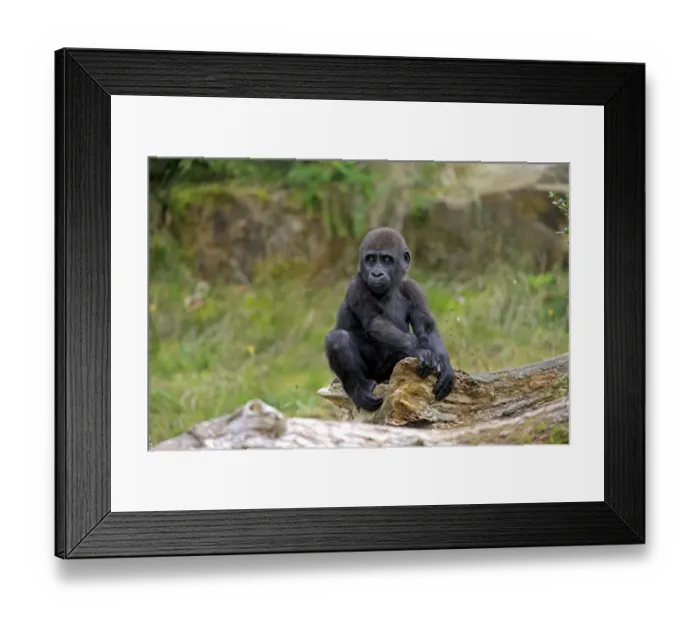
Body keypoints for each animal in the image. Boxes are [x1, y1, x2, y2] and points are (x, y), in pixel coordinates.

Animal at [324, 227, 455, 411]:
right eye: (371, 259)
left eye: (387, 260)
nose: (376, 273)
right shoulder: (357, 285)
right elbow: (375, 322)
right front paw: (419, 350)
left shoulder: (413, 288)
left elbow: (426, 328)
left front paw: (445, 366)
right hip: (370, 374)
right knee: (337, 338)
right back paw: (360, 390)